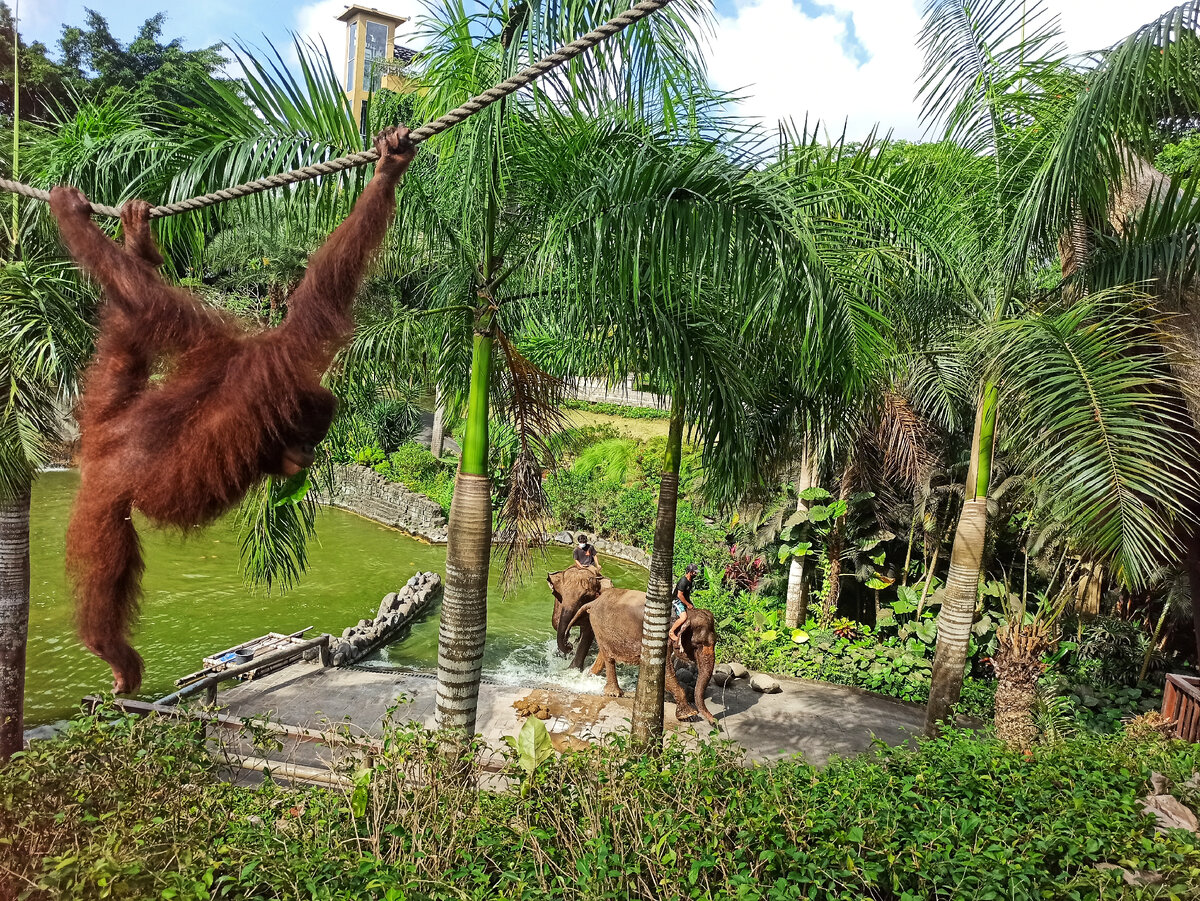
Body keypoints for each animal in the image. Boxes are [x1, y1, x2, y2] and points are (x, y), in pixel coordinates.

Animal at [566, 592, 715, 724]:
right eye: (699, 644)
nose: (714, 722)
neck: (685, 614)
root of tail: (593, 602)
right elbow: (666, 672)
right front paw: (690, 716)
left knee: (604, 654)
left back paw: (588, 676)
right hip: (599, 625)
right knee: (609, 658)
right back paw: (614, 693)